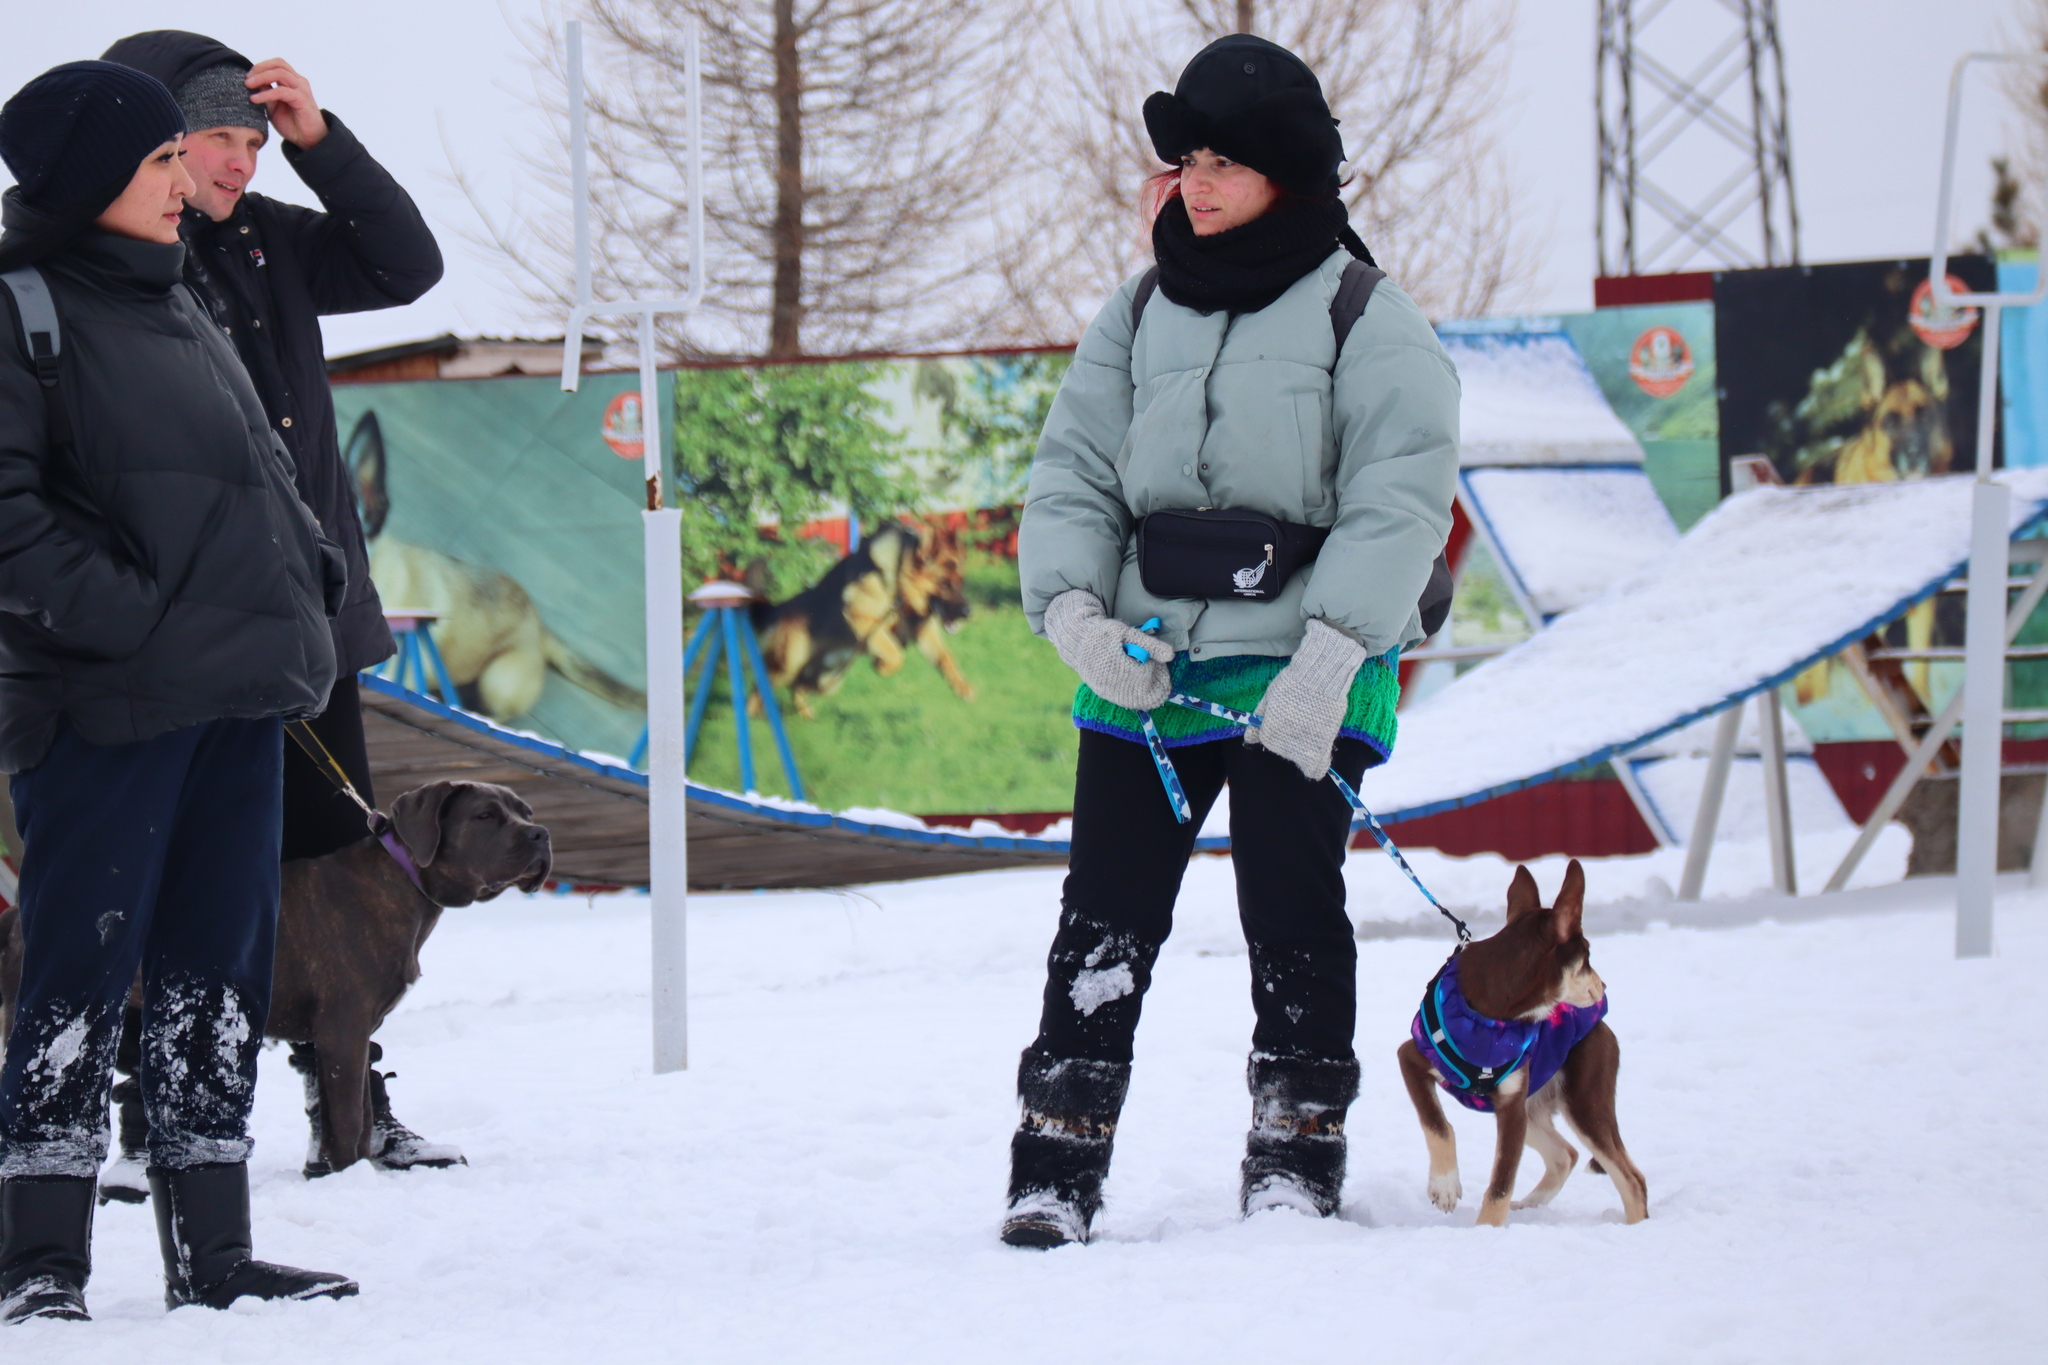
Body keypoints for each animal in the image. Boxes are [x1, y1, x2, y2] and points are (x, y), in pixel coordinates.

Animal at [0, 789, 548, 1186]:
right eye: (485, 816)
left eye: (525, 811)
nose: (541, 834)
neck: (403, 881)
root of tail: (18, 917)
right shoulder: (342, 1032)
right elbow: (348, 1123)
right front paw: (347, 1180)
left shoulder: (350, 1036)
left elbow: (359, 1115)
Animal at [1392, 871, 1646, 1236]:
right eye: (1587, 957)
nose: (1603, 987)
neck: (1490, 1017)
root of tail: (1600, 1023)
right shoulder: (1411, 1058)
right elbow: (1436, 1123)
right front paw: (1445, 1186)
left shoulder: (1511, 1106)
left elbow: (1501, 1183)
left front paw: (1485, 1232)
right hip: (1537, 1106)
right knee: (1567, 1154)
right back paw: (1530, 1205)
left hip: (1583, 1101)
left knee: (1631, 1179)